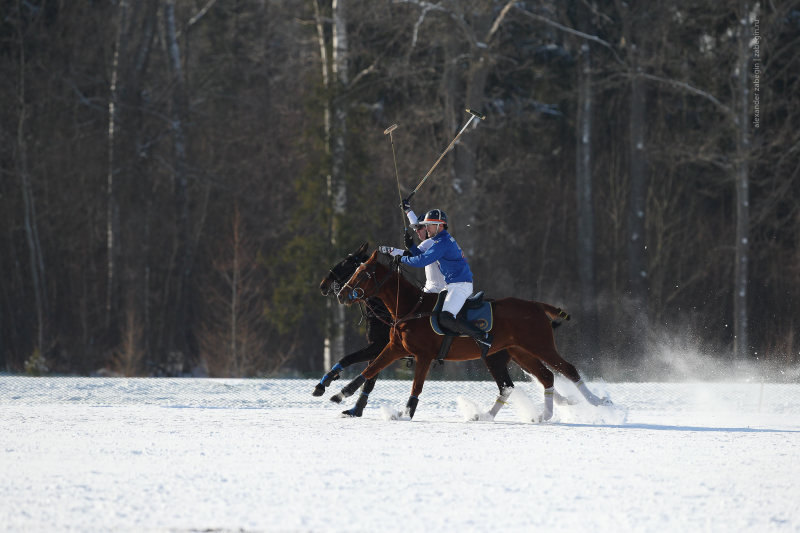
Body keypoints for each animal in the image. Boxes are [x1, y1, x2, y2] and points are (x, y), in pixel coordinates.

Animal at [332, 249, 608, 420]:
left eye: (362, 273)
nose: (341, 294)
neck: (411, 307)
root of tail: (537, 305)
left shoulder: (423, 355)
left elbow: (416, 386)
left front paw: (406, 414)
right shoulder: (394, 348)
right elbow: (369, 370)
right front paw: (339, 394)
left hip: (540, 345)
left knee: (567, 369)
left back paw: (599, 402)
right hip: (515, 352)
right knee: (537, 378)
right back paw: (528, 415)